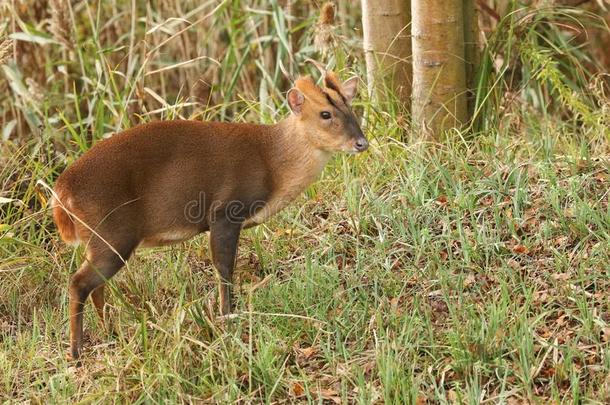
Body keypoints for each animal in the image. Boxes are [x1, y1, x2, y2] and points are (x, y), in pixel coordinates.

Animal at [51, 66, 366, 360]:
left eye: (352, 108)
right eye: (325, 114)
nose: (361, 143)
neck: (273, 161)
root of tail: (62, 191)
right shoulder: (226, 210)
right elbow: (224, 267)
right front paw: (228, 316)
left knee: (96, 286)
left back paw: (109, 333)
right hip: (112, 232)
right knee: (79, 283)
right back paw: (76, 351)